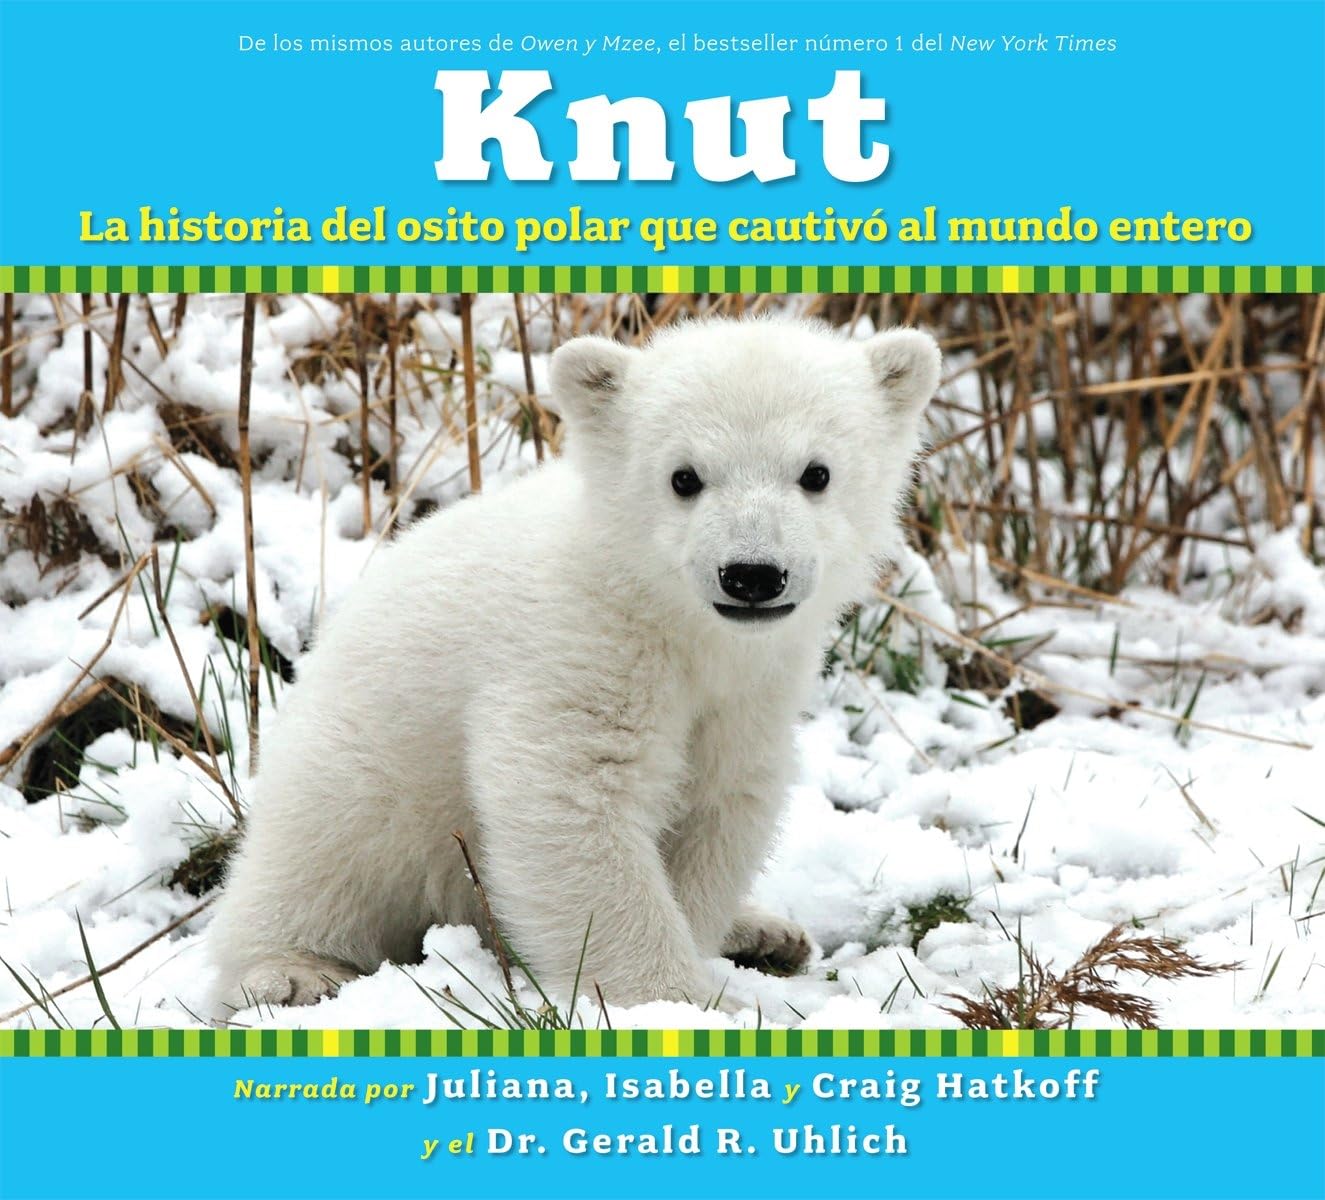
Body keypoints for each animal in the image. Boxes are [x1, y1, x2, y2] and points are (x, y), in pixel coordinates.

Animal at [206, 316, 940, 1016]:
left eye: (816, 473)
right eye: (683, 477)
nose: (753, 575)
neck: (665, 614)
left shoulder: (751, 691)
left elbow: (718, 804)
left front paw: (710, 954)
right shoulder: (575, 650)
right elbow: (571, 802)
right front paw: (682, 1001)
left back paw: (766, 932)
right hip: (361, 770)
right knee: (319, 861)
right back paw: (292, 973)